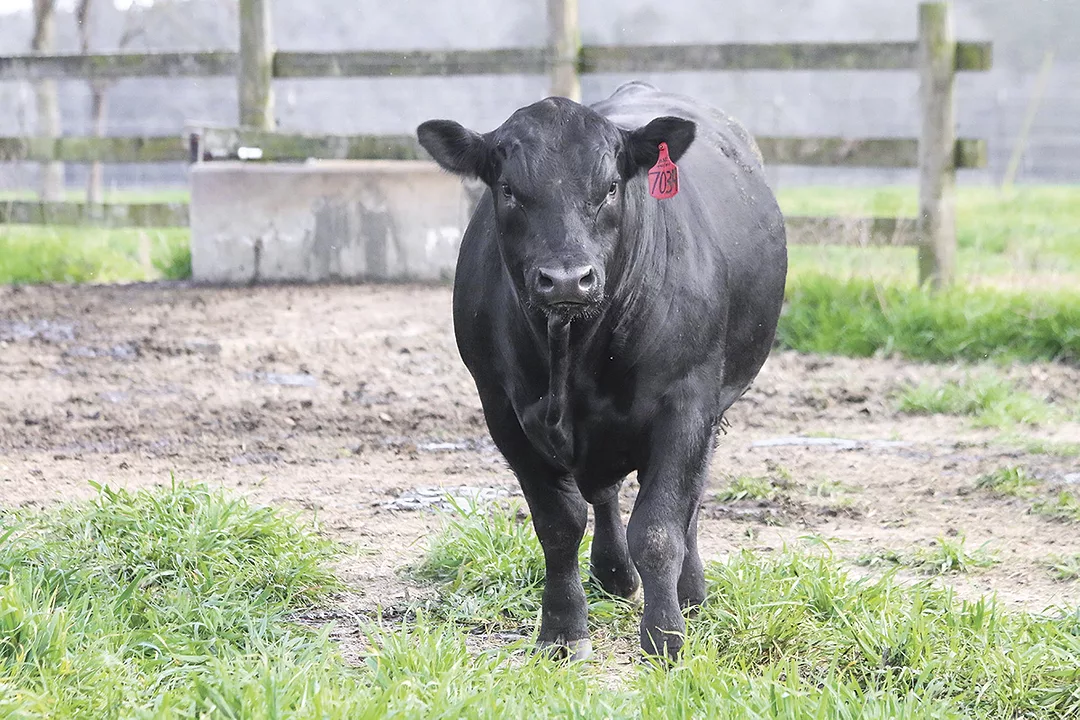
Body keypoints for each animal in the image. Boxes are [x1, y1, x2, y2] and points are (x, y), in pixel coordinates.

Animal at [416, 81, 787, 661]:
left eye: (611, 187)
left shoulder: (687, 404)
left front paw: (665, 637)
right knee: (604, 493)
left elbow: (659, 529)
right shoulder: (502, 411)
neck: (575, 354)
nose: (567, 279)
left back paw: (691, 591)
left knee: (689, 500)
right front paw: (562, 629)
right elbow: (558, 524)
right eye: (509, 190)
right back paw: (614, 572)